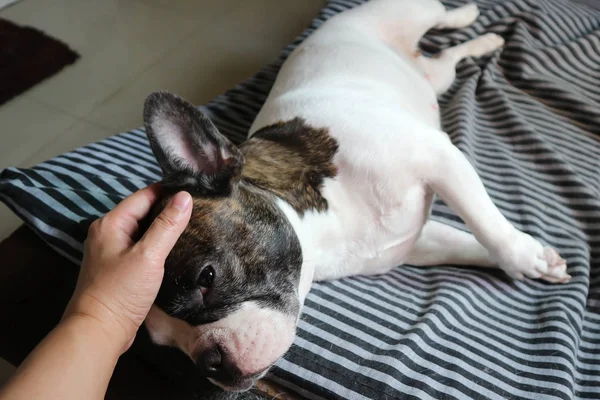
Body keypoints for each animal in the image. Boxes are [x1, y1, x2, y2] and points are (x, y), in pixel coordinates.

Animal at [139, 0, 568, 394]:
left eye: (206, 277)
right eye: (170, 345)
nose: (209, 362)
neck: (324, 232)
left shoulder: (439, 157)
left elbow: (486, 224)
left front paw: (524, 256)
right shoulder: (420, 241)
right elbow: (468, 243)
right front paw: (537, 261)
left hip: (413, 12)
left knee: (442, 16)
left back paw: (469, 13)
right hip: (439, 78)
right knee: (448, 57)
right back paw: (486, 40)